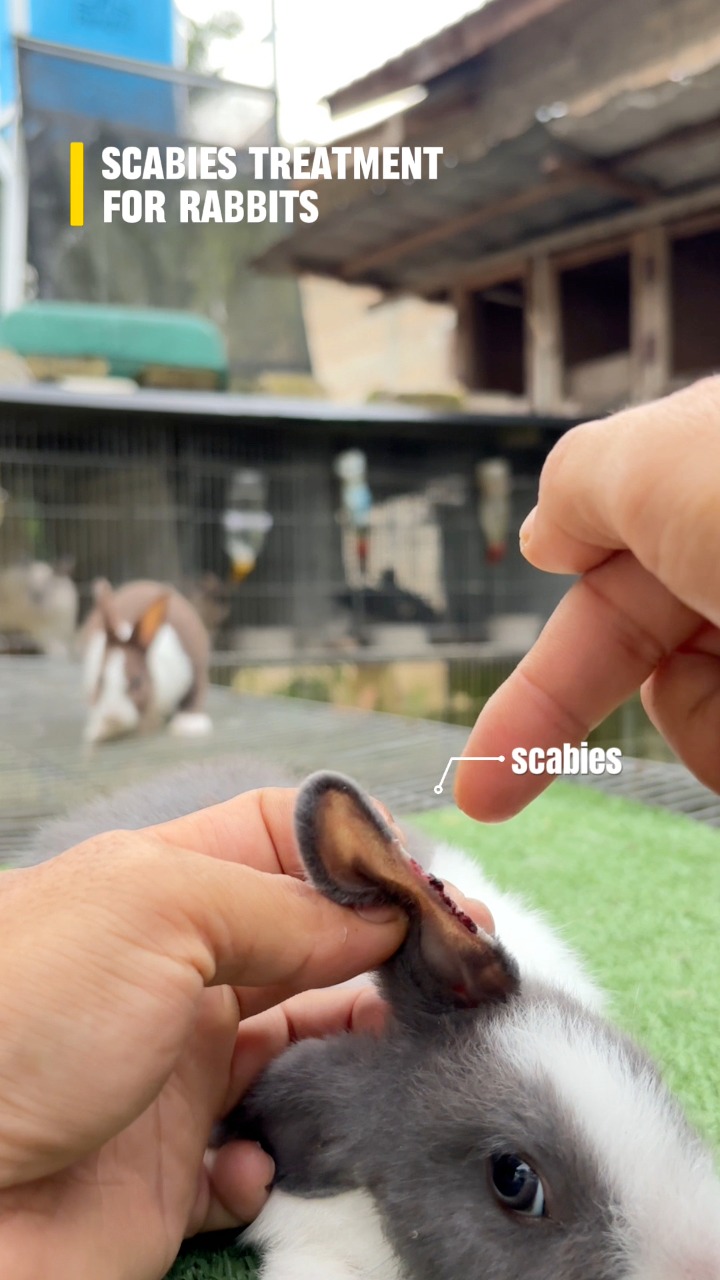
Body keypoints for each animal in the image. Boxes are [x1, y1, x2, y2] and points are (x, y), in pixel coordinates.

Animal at [81, 578, 212, 744]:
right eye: (100, 680)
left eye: (138, 682)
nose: (113, 718)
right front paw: (98, 731)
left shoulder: (194, 667)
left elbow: (194, 696)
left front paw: (188, 725)